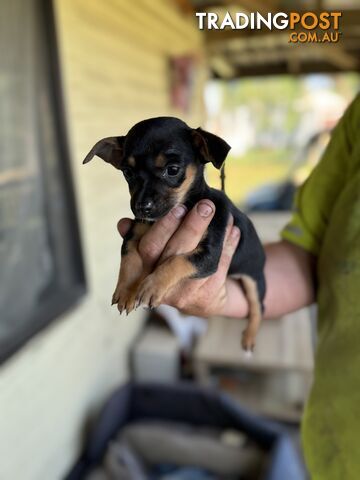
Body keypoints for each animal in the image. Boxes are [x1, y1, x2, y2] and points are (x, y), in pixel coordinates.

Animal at [83, 116, 264, 348]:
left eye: (173, 170)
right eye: (128, 173)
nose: (142, 207)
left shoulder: (209, 255)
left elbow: (176, 261)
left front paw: (152, 286)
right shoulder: (134, 233)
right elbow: (129, 258)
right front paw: (126, 290)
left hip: (255, 281)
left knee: (258, 308)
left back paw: (249, 337)